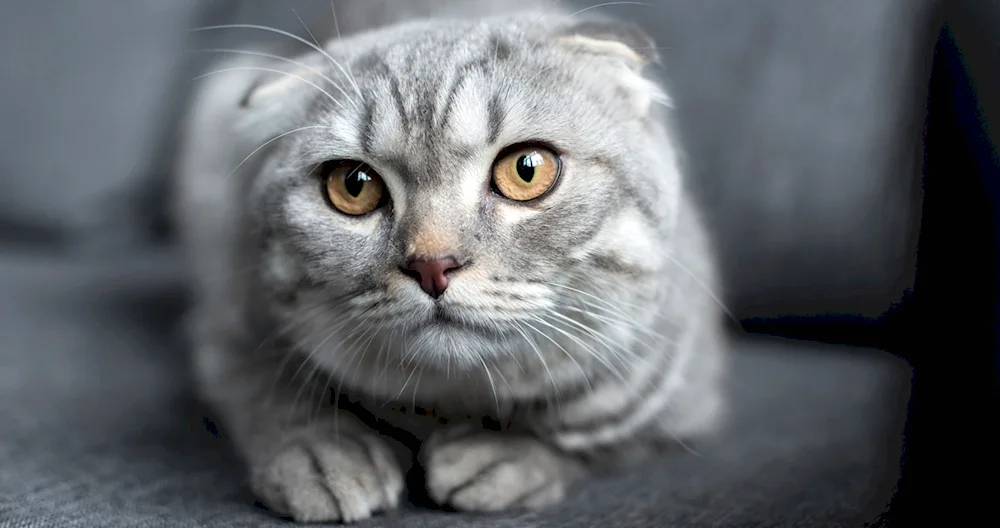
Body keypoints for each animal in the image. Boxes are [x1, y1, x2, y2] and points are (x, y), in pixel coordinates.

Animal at [174, 1, 728, 524]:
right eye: (353, 184)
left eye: (527, 170)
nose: (433, 265)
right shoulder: (231, 328)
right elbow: (271, 395)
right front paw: (324, 454)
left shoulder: (684, 392)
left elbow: (598, 440)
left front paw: (507, 454)